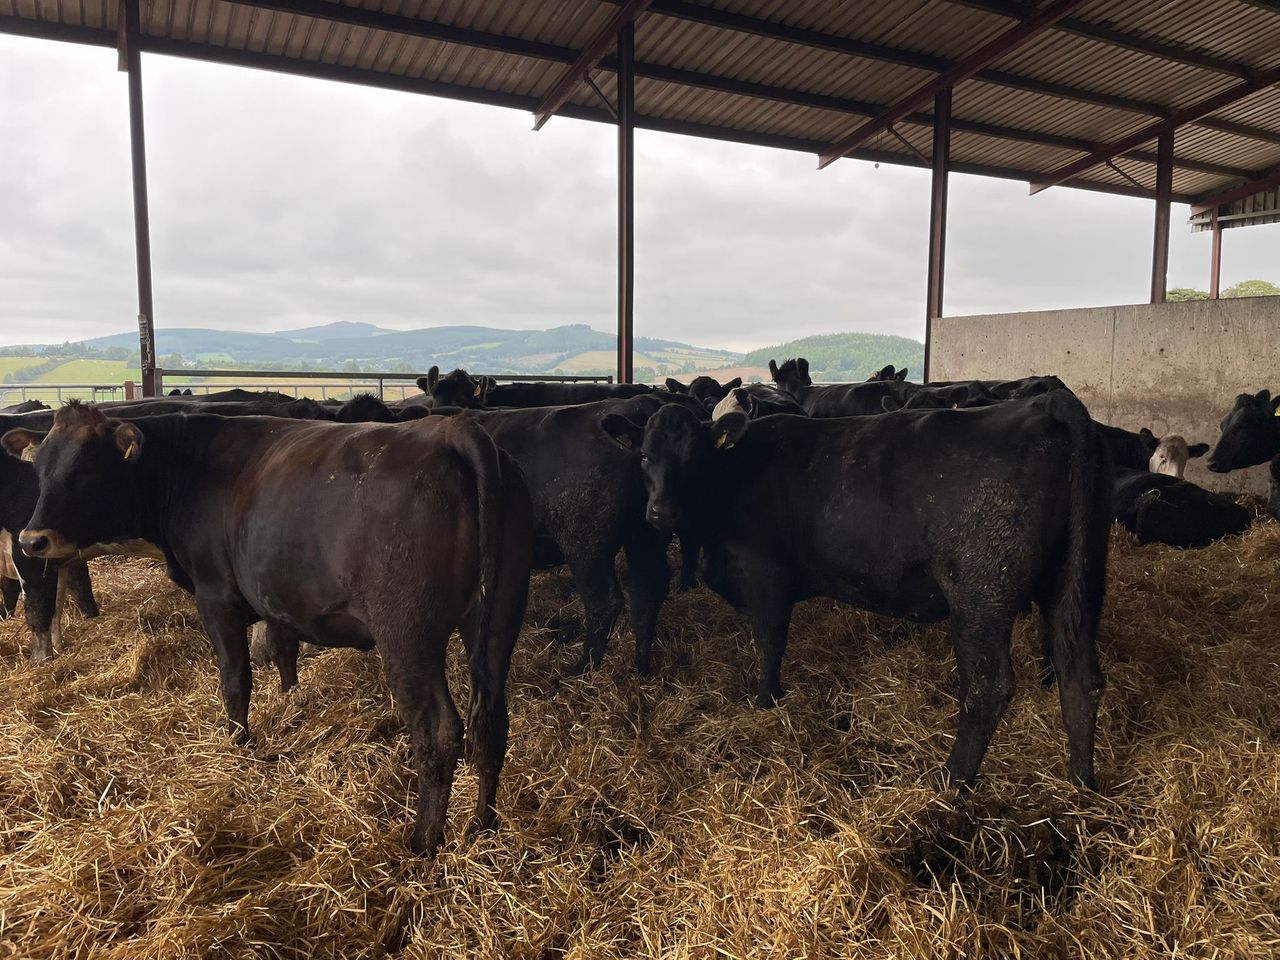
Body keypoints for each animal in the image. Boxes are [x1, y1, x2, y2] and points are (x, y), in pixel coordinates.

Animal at [3, 402, 533, 855]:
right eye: (40, 469)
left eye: (87, 468)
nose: (32, 540)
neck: (186, 468)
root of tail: (451, 430)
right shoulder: (275, 595)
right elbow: (281, 648)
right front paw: (289, 698)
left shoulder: (215, 594)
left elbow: (235, 676)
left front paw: (238, 741)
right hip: (497, 618)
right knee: (491, 722)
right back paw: (483, 826)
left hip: (407, 632)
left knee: (439, 732)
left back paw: (423, 842)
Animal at [601, 394, 1111, 789]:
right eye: (644, 457)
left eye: (694, 457)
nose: (660, 512)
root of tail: (1041, 405)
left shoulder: (766, 578)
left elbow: (769, 644)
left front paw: (766, 703)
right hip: (1071, 584)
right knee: (1080, 675)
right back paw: (1080, 783)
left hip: (981, 593)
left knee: (988, 685)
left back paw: (951, 782)